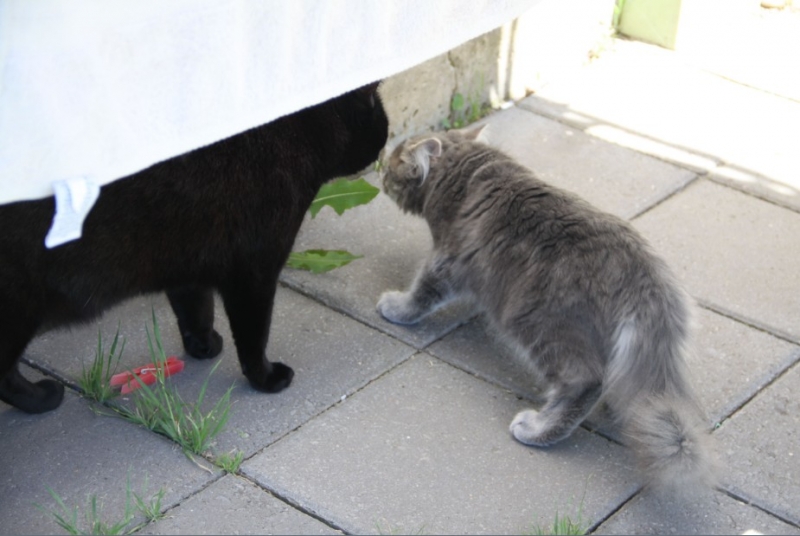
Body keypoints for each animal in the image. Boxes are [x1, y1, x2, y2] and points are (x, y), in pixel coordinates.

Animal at [0, 82, 388, 414]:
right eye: (376, 109)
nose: (386, 136)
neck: (292, 134)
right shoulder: (254, 273)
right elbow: (253, 336)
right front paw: (265, 378)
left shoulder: (188, 264)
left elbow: (196, 309)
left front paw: (203, 346)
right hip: (18, 309)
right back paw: (42, 398)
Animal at [377, 126, 716, 489]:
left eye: (390, 166)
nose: (379, 170)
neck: (467, 174)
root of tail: (647, 280)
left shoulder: (446, 261)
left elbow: (422, 293)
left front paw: (396, 308)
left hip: (538, 323)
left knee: (585, 382)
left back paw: (537, 429)